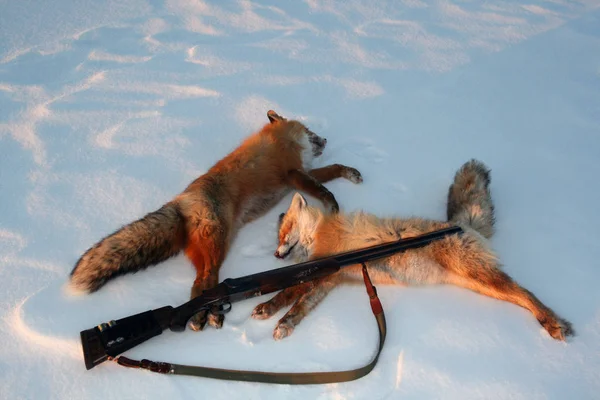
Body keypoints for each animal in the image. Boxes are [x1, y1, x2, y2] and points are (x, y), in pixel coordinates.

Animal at [69, 111, 360, 330]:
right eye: (310, 130)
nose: (324, 139)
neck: (282, 138)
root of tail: (181, 200)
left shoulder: (299, 174)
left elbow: (332, 169)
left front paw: (351, 173)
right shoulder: (294, 173)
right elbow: (323, 189)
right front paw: (333, 205)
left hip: (209, 248)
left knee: (200, 283)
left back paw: (206, 315)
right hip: (217, 245)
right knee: (205, 280)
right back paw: (206, 315)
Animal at [252, 161, 572, 342]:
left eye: (284, 232)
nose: (276, 255)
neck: (319, 233)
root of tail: (462, 225)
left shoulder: (324, 269)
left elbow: (291, 295)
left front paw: (273, 311)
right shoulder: (329, 279)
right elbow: (298, 303)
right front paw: (281, 319)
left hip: (483, 277)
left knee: (527, 294)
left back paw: (553, 323)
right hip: (481, 286)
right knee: (519, 295)